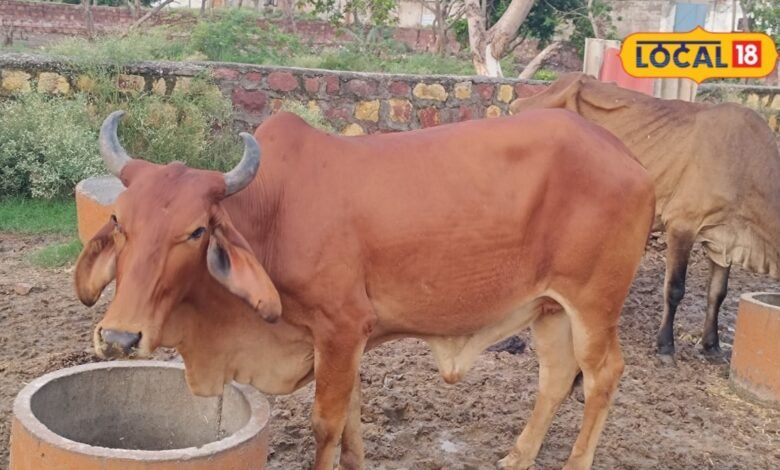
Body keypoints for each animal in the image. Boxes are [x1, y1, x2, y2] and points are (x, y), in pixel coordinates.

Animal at [75, 108, 655, 469]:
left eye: (196, 231)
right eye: (119, 220)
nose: (121, 338)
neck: (274, 211)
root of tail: (628, 157)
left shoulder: (340, 327)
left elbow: (326, 423)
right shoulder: (340, 340)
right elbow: (352, 417)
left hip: (593, 305)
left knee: (603, 376)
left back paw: (576, 460)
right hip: (549, 307)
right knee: (556, 377)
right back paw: (519, 454)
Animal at [510, 72, 780, 359]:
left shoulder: (723, 240)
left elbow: (717, 293)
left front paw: (712, 346)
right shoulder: (682, 224)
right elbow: (675, 288)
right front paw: (666, 344)